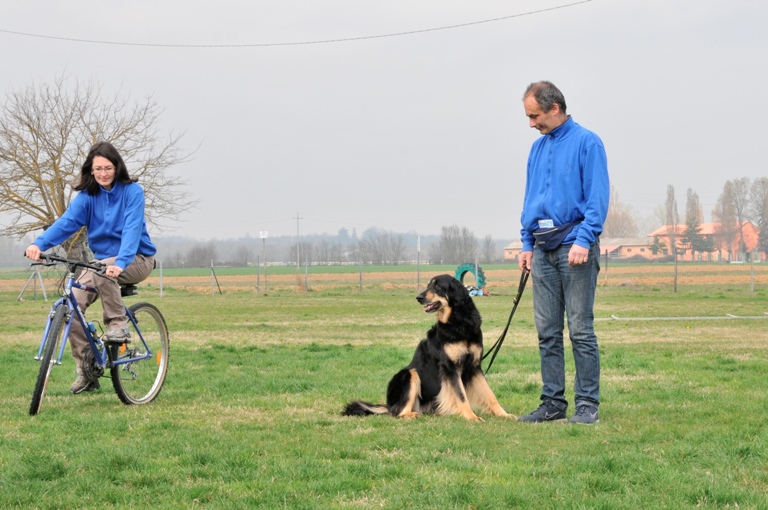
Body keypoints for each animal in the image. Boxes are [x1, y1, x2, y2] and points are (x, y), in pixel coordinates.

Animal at [340, 274, 510, 422]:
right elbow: (461, 396)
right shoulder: (450, 368)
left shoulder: (474, 366)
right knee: (397, 412)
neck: (458, 321)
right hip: (410, 374)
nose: (419, 297)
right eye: (428, 285)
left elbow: (490, 395)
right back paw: (411, 414)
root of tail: (388, 405)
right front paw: (471, 417)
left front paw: (504, 414)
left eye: (437, 286)